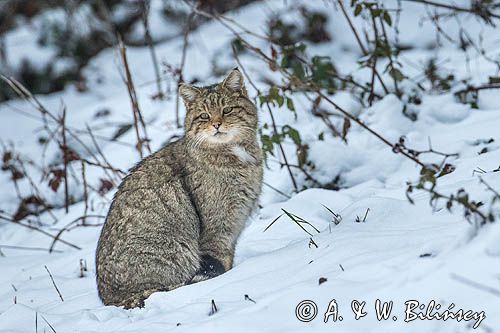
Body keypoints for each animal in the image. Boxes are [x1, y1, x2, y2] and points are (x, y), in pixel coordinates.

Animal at [95, 68, 264, 308]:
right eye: (204, 116)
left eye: (227, 110)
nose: (217, 124)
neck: (236, 155)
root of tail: (109, 298)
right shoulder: (217, 228)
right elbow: (220, 260)